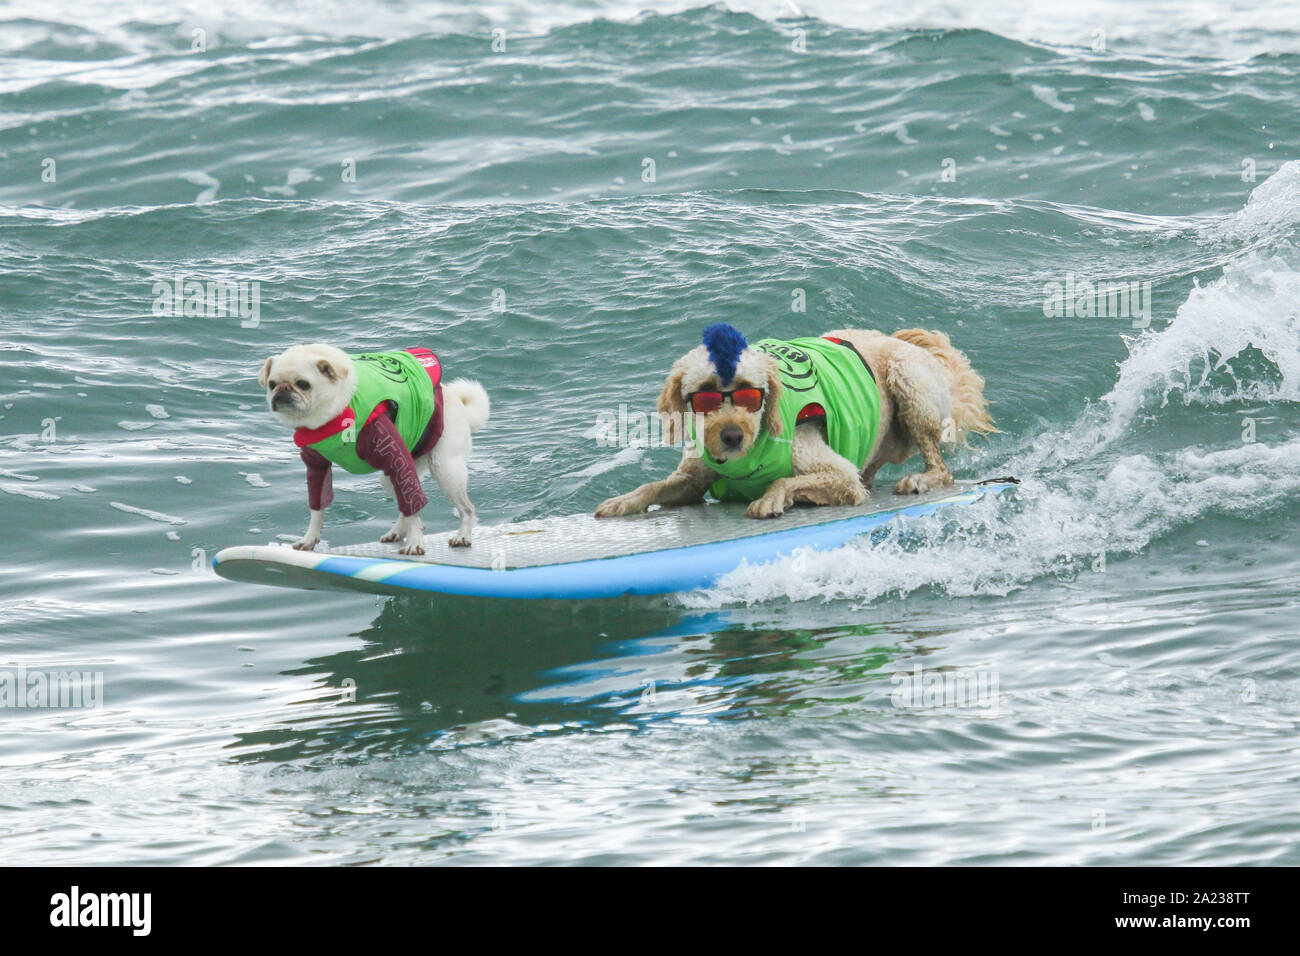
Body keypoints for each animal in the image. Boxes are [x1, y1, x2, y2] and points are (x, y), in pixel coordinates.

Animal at [598, 327, 993, 522]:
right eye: (705, 396)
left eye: (749, 393)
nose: (732, 437)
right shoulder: (692, 479)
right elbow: (654, 486)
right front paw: (623, 501)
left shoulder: (838, 474)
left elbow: (786, 479)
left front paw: (770, 499)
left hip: (909, 381)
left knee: (941, 467)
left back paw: (920, 479)